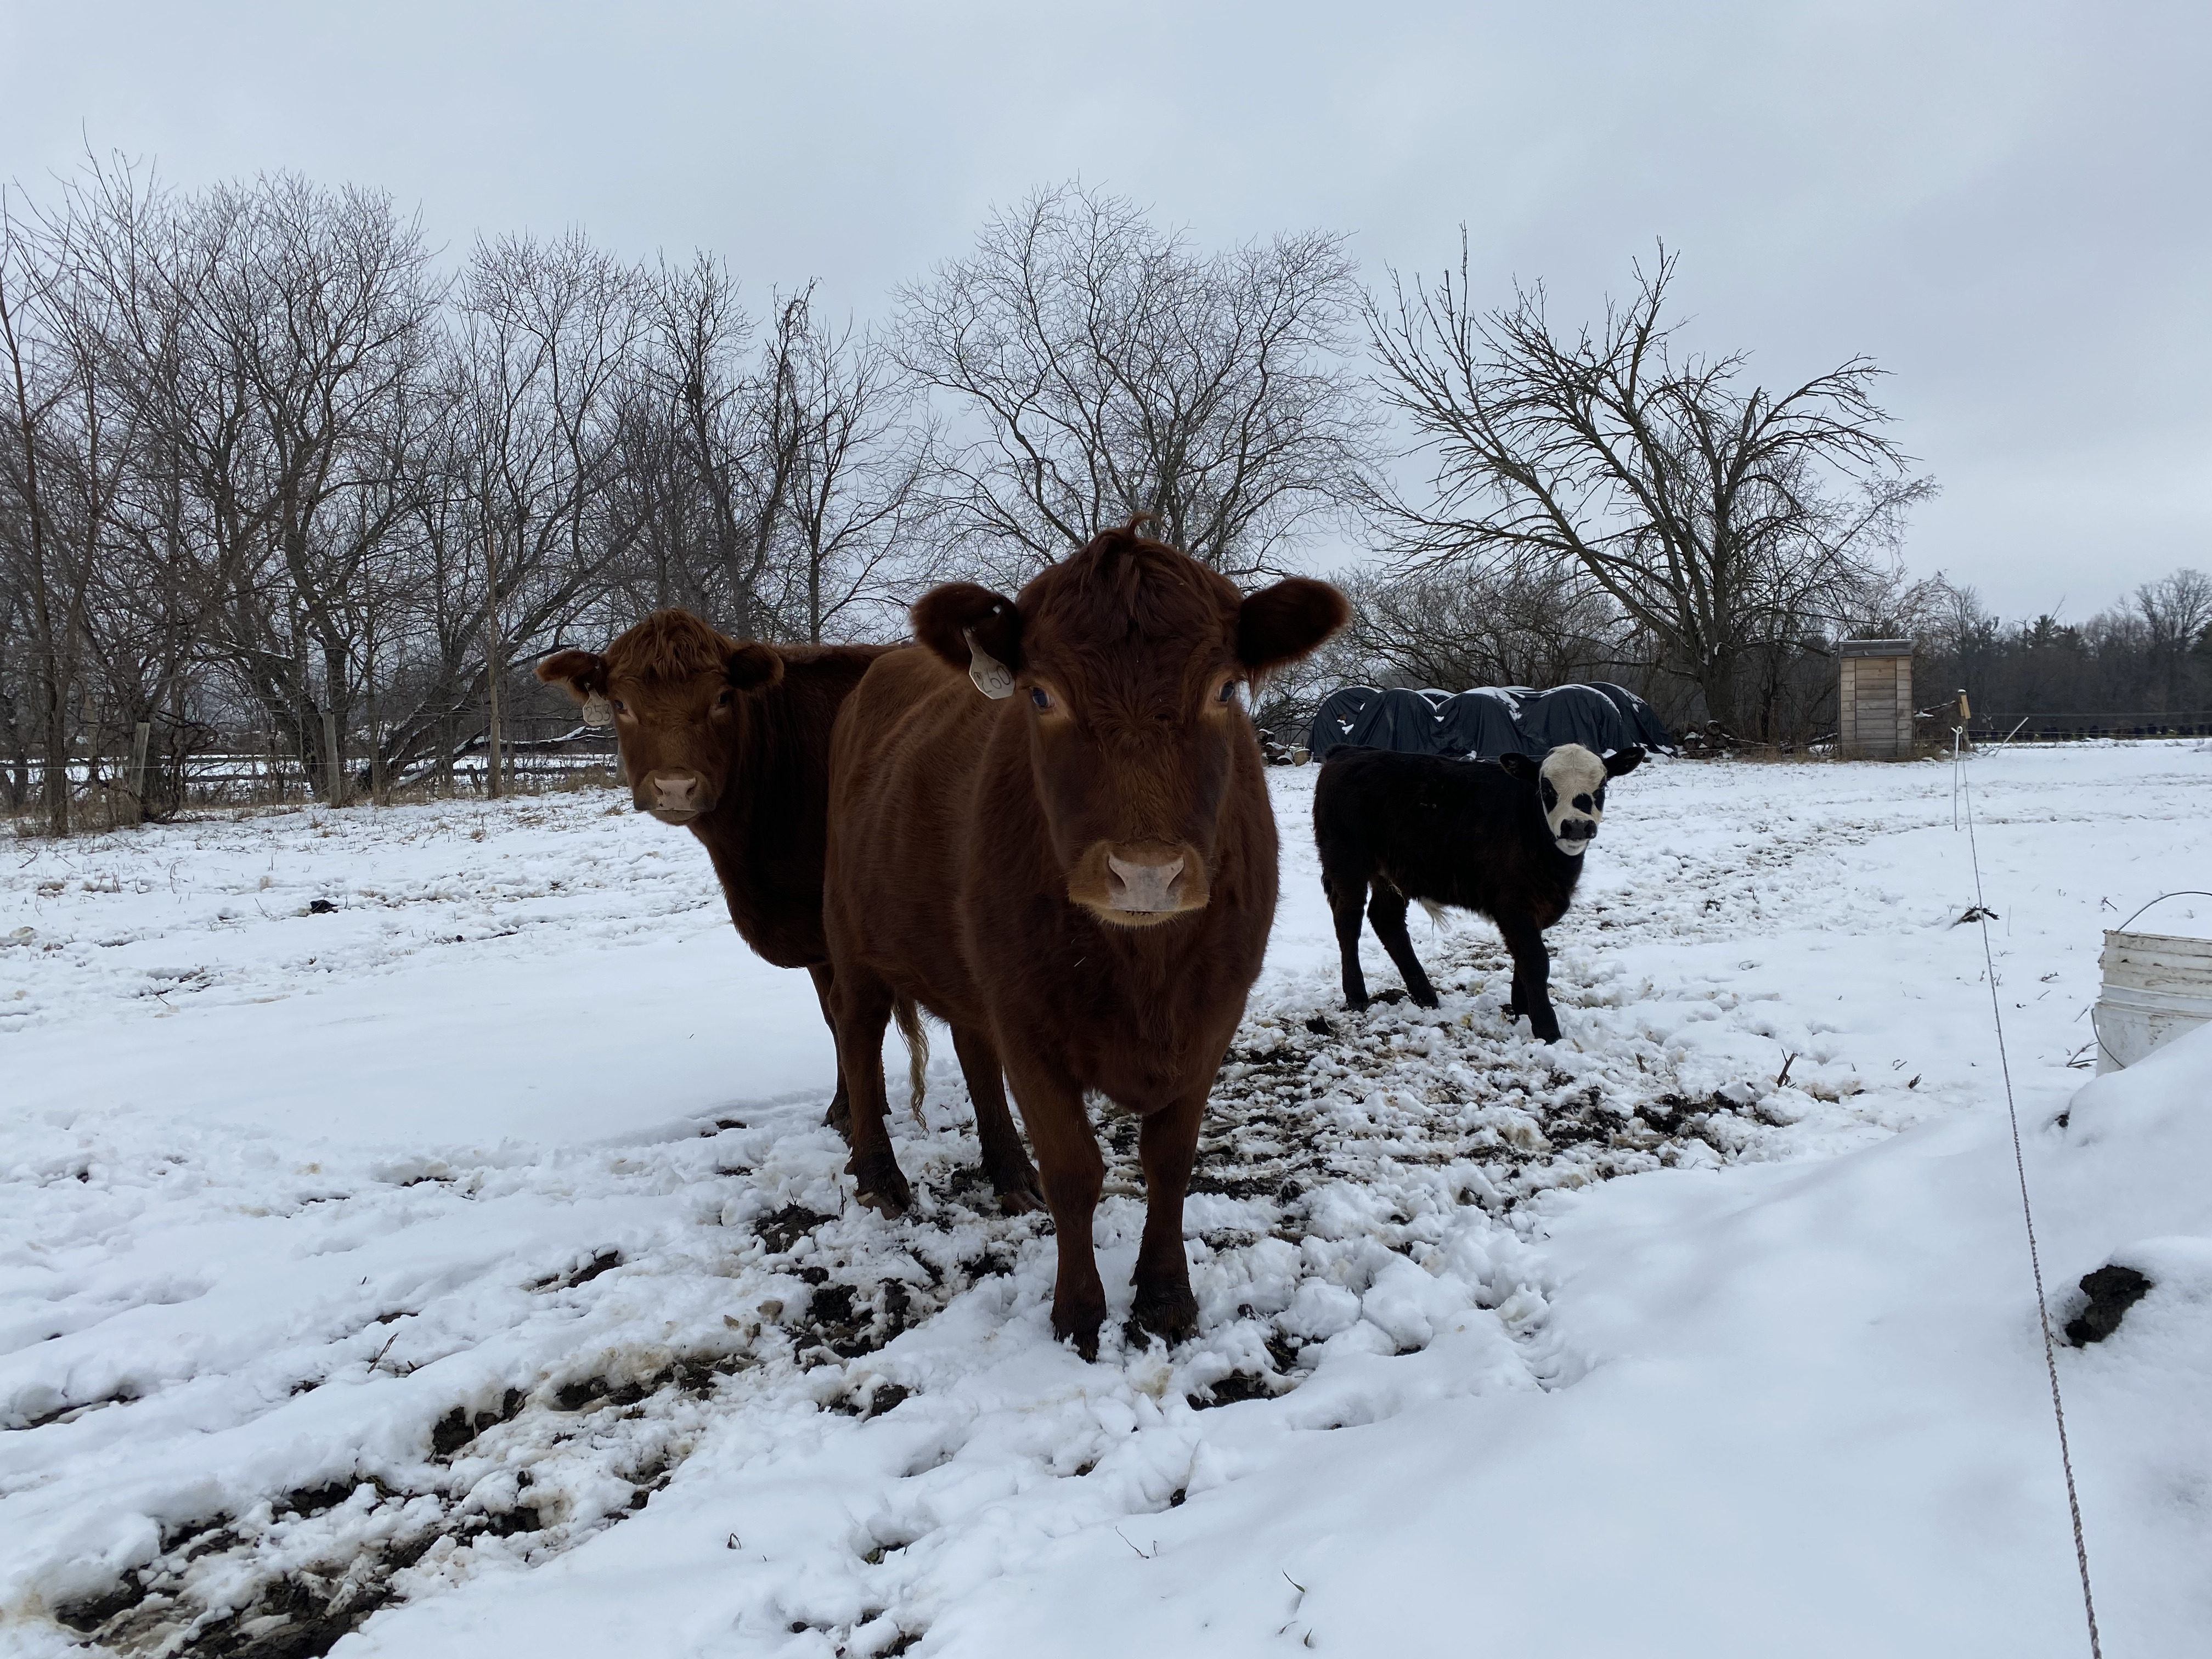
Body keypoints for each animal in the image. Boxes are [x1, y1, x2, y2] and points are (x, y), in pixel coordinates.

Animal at [541, 606, 1044, 1212]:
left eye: (722, 697)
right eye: (620, 703)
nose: (675, 787)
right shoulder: (820, 936)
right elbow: (833, 1017)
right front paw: (847, 1109)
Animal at [818, 526, 1345, 1353]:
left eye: (1226, 689)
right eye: (1041, 695)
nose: (1146, 873)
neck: (1146, 972)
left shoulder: (1215, 1015)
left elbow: (1170, 1161)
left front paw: (1165, 1295)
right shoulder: (1029, 1022)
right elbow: (1075, 1170)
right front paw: (1078, 1313)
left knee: (970, 1049)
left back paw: (1008, 1173)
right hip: (852, 932)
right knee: (858, 1031)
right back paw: (880, 1176)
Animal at [1309, 752, 1645, 1044]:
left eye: (1601, 786)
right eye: (1546, 787)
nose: (1576, 825)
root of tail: (1347, 752)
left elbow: (1524, 956)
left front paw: (1522, 1009)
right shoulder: (1513, 903)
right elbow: (1535, 958)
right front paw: (1546, 1028)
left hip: (1392, 873)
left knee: (1387, 921)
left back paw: (1425, 995)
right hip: (1347, 862)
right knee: (1349, 921)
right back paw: (1357, 995)